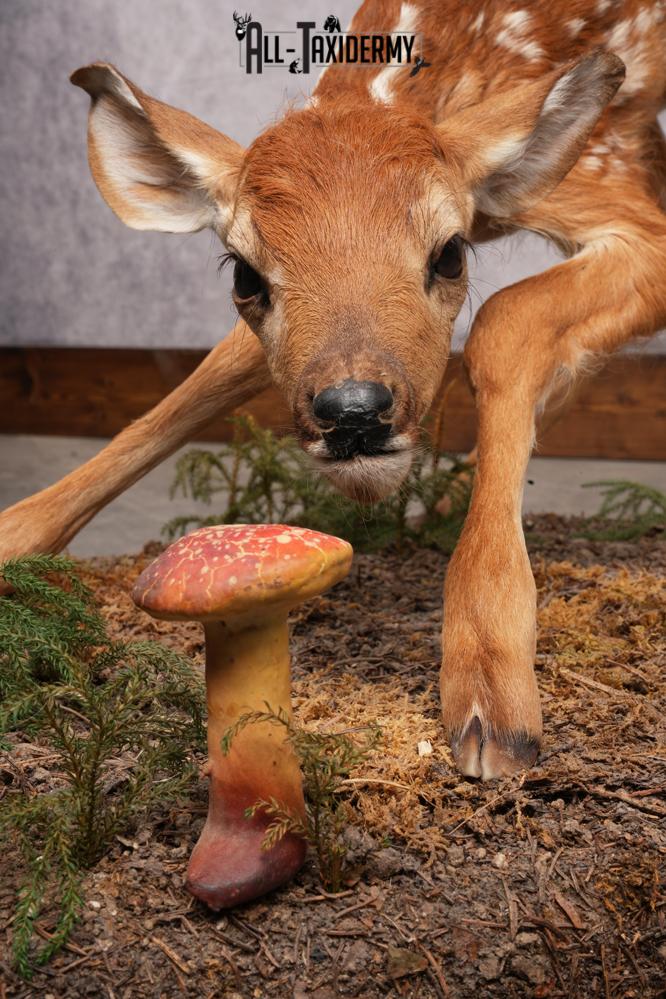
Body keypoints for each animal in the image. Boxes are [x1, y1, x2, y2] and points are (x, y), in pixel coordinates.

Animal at [1, 0, 664, 780]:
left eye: (450, 253)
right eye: (244, 274)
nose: (354, 413)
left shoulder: (616, 179)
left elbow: (502, 323)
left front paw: (492, 693)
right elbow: (210, 376)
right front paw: (14, 540)